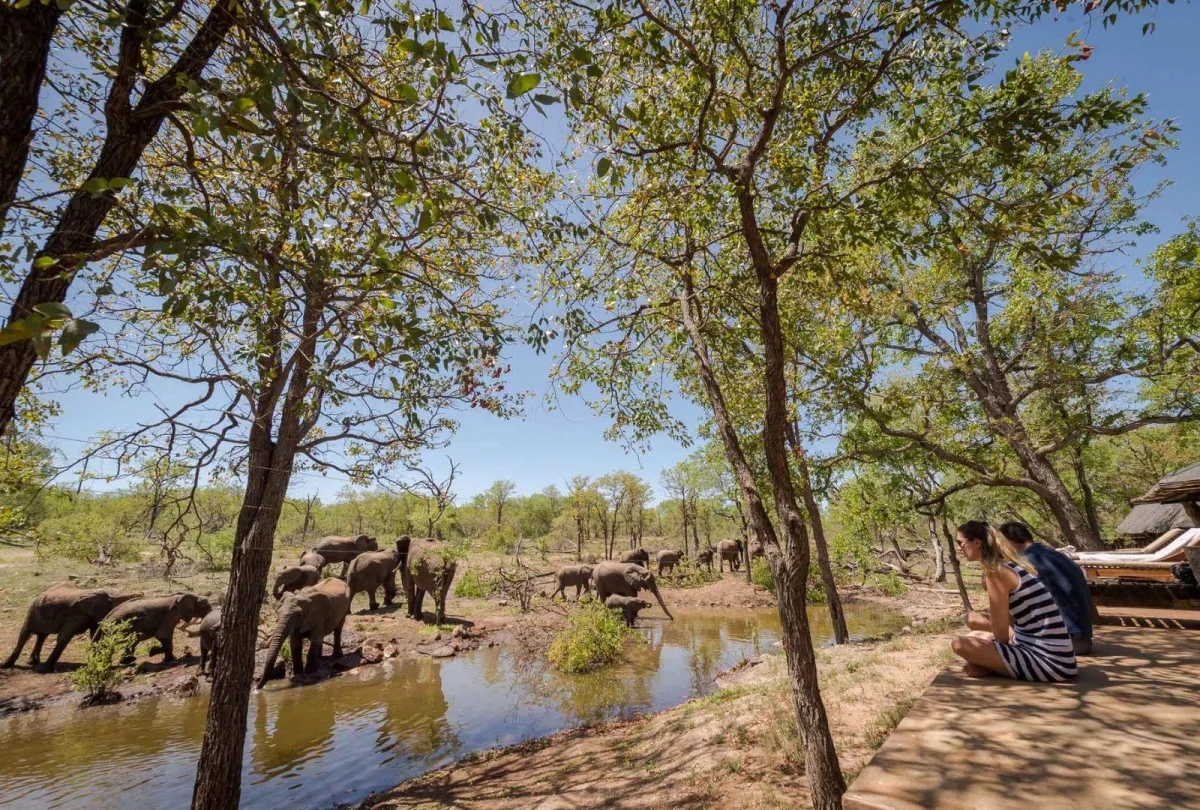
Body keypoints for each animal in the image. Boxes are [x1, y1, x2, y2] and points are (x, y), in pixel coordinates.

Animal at [2, 584, 142, 672]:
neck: (111, 593)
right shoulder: (75, 615)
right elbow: (64, 637)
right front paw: (44, 670)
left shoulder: (92, 616)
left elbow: (95, 636)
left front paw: (99, 663)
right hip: (32, 611)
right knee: (25, 634)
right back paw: (6, 665)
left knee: (42, 636)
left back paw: (33, 662)